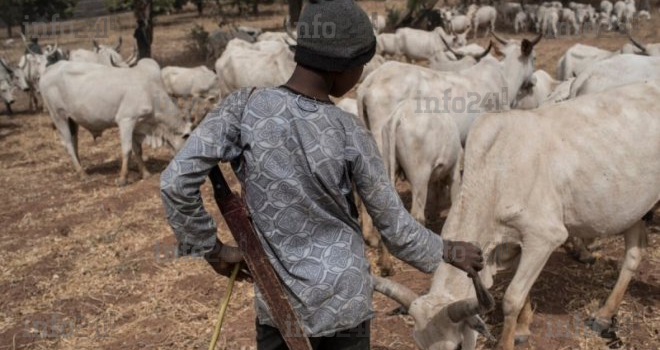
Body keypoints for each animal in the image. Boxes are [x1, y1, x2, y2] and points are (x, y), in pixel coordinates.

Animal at [39, 59, 191, 186]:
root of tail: (49, 69)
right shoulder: (126, 120)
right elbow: (127, 149)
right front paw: (123, 178)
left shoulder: (137, 125)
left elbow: (137, 149)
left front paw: (145, 173)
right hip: (59, 116)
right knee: (68, 144)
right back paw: (83, 174)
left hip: (72, 120)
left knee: (74, 141)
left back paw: (80, 168)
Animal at [374, 79, 656, 350]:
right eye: (419, 344)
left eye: (457, 346)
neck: (496, 171)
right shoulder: (515, 242)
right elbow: (522, 291)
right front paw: (523, 328)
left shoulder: (545, 237)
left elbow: (512, 297)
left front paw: (509, 340)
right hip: (634, 209)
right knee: (634, 253)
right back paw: (605, 314)